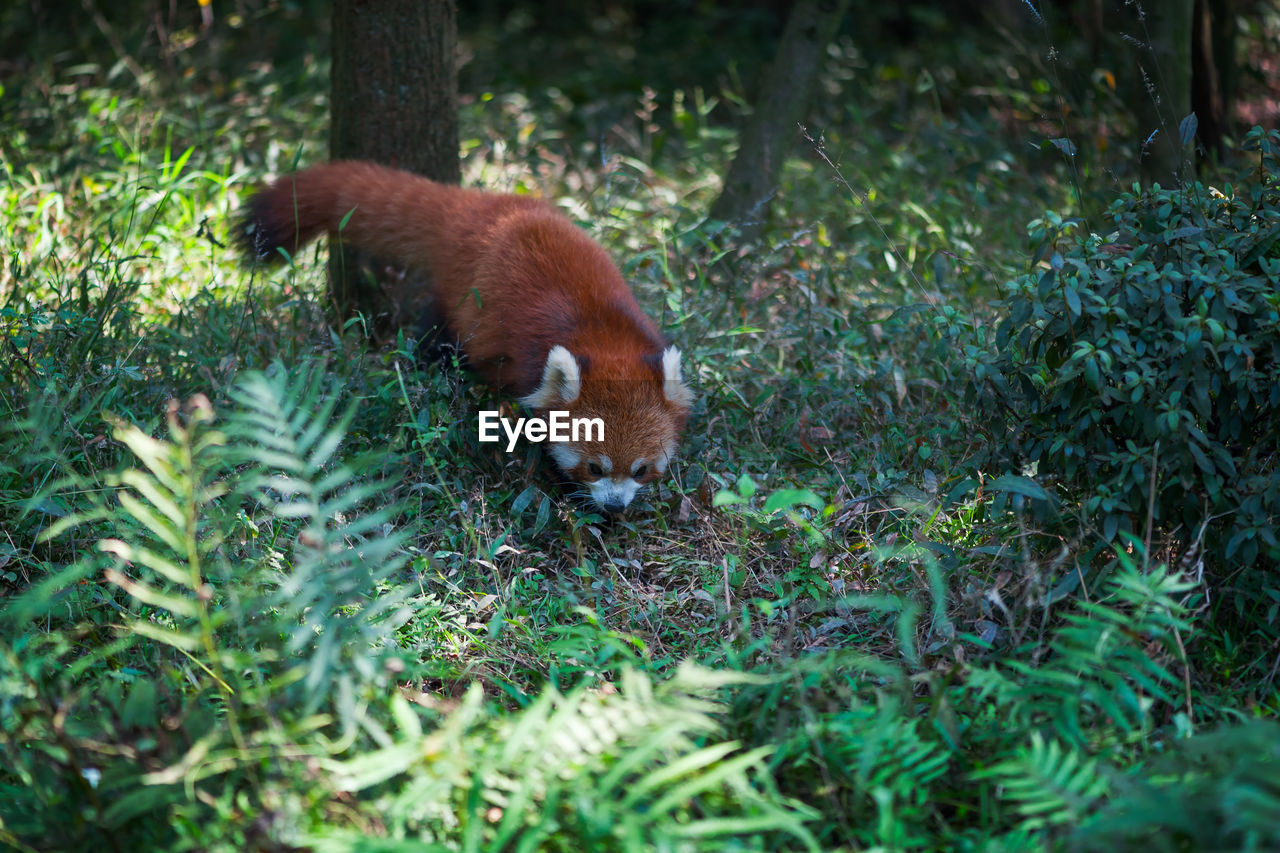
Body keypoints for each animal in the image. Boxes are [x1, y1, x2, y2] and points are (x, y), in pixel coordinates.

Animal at [243, 161, 696, 512]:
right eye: (595, 468)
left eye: (641, 469)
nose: (615, 505)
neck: (603, 339)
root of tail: (480, 208)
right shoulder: (525, 365)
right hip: (459, 302)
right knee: (438, 342)